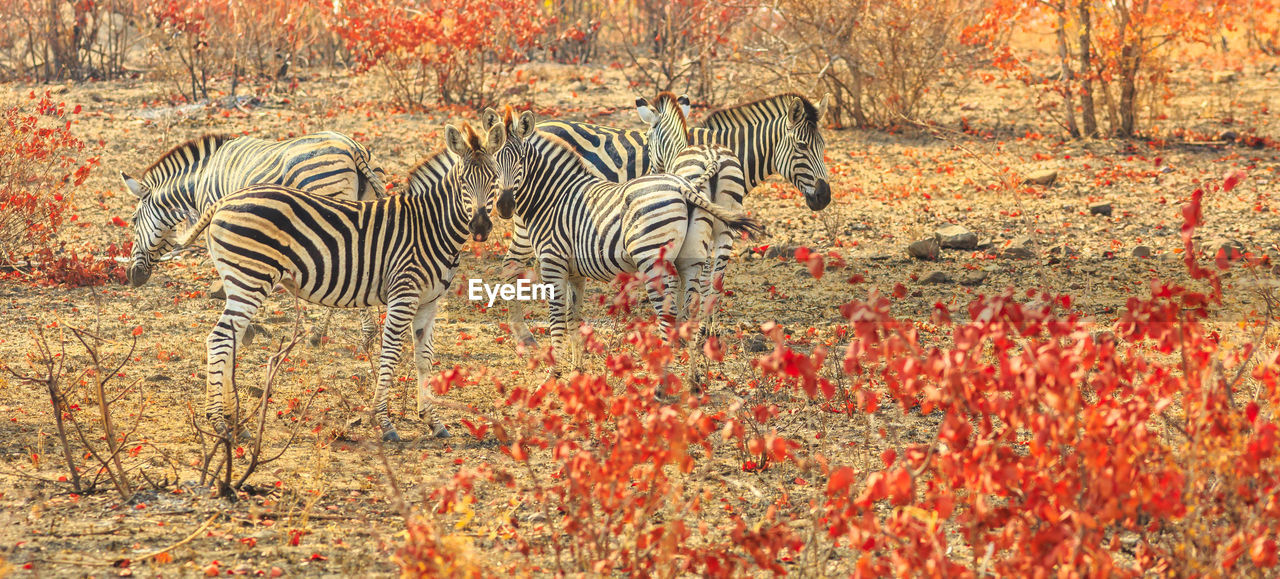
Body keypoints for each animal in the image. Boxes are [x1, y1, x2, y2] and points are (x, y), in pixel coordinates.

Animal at [122, 131, 386, 345]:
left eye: (134, 220)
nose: (132, 277)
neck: (200, 180)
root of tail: (352, 148)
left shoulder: (215, 218)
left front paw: (244, 330)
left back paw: (331, 334)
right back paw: (353, 333)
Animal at [179, 121, 504, 438]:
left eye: (495, 178)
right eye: (462, 181)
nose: (480, 227)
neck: (431, 226)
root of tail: (224, 200)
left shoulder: (429, 301)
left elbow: (424, 358)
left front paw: (433, 422)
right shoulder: (403, 294)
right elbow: (390, 355)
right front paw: (384, 422)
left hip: (241, 280)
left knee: (229, 340)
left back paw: (235, 422)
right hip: (250, 279)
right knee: (220, 339)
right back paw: (218, 423)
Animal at [481, 107, 757, 366]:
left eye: (522, 159)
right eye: (492, 161)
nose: (505, 205)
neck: (554, 194)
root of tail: (682, 186)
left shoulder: (553, 261)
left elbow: (558, 319)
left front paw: (557, 371)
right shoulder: (574, 270)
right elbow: (573, 318)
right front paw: (577, 370)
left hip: (652, 259)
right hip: (693, 254)